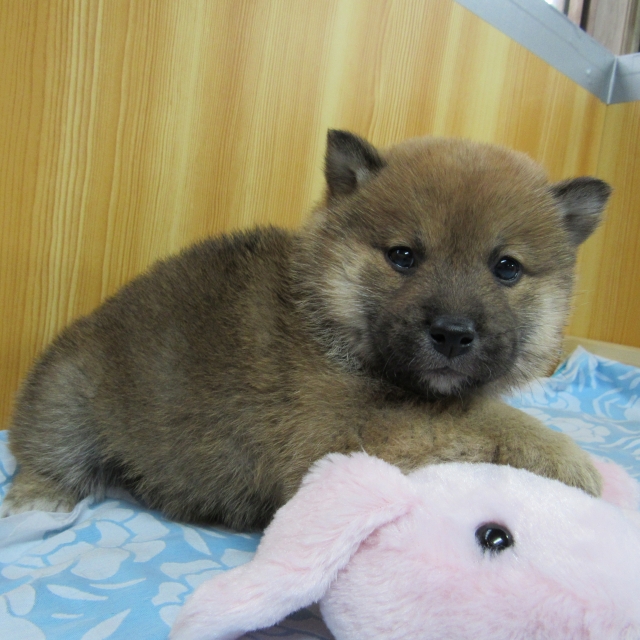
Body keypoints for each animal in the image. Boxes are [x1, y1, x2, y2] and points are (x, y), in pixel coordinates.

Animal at [2, 130, 611, 529]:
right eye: (404, 256)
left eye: (506, 268)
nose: (453, 333)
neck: (328, 319)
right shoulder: (339, 436)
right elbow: (483, 417)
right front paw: (568, 458)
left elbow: (476, 411)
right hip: (67, 400)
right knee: (43, 458)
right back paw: (36, 506)